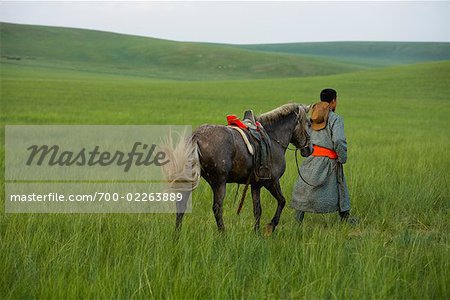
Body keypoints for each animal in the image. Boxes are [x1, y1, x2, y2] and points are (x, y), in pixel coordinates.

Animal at [162, 103, 312, 234]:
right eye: (309, 123)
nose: (309, 150)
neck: (273, 137)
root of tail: (197, 135)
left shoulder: (256, 185)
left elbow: (257, 210)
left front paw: (257, 233)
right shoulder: (271, 181)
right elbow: (282, 201)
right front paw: (270, 227)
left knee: (181, 205)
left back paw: (177, 234)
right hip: (219, 182)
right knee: (217, 208)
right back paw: (223, 234)